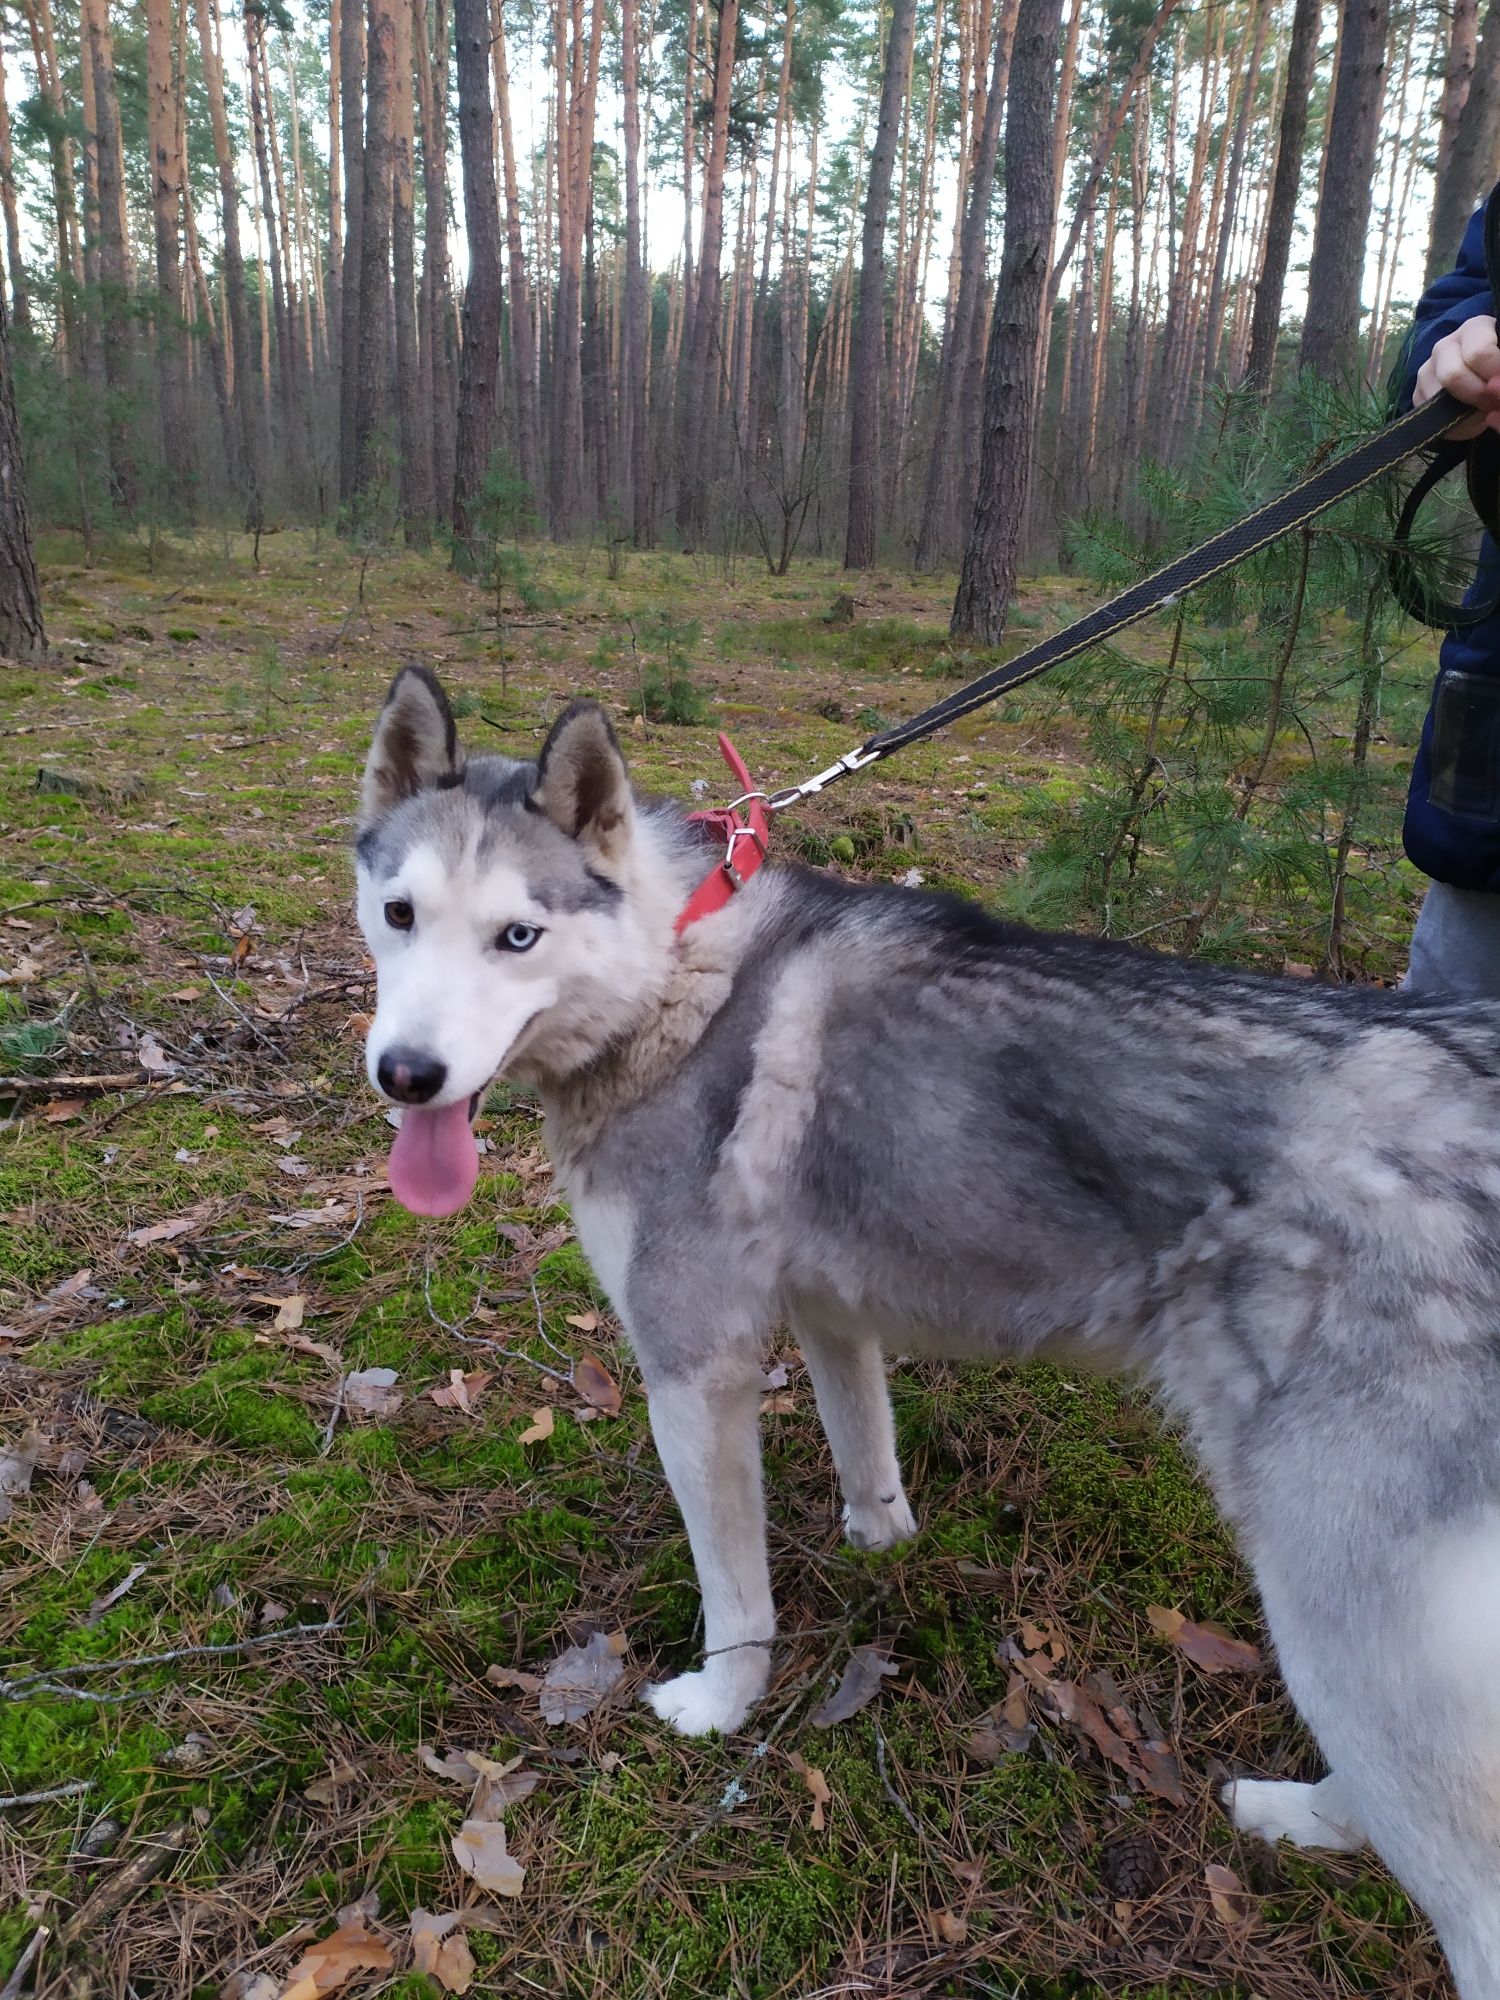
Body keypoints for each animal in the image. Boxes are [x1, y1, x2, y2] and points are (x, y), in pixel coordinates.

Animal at [356, 668, 1500, 1984]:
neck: (673, 974)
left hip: (1334, 1591)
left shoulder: (693, 1369)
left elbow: (735, 1593)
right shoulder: (830, 1314)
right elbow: (870, 1456)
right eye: (399, 913)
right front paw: (883, 1549)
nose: (406, 1074)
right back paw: (1307, 1816)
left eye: (518, 936)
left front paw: (722, 1707)